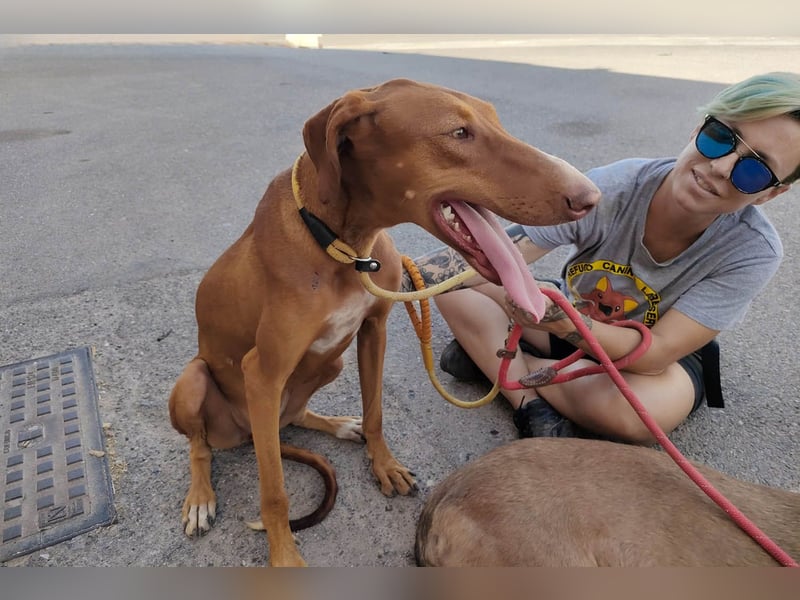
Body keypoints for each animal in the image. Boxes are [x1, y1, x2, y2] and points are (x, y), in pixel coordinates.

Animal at [167, 77, 600, 564]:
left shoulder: (374, 332)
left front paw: (384, 465)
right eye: (458, 133)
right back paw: (200, 497)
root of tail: (244, 433)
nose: (591, 197)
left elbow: (375, 411)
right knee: (202, 446)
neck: (343, 245)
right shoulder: (262, 373)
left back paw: (338, 424)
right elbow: (274, 491)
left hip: (327, 366)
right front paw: (284, 556)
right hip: (194, 383)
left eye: (497, 121)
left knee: (292, 417)